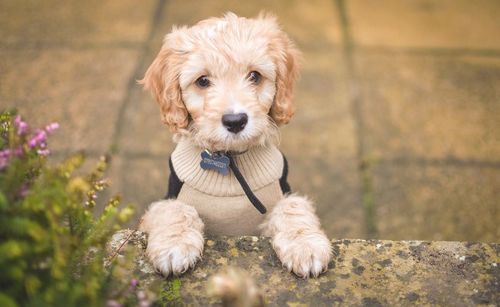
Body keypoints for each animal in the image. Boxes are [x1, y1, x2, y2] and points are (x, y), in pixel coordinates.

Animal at [139, 12, 332, 280]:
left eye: (255, 76)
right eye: (202, 81)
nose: (235, 121)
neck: (231, 159)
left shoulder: (281, 195)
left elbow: (293, 207)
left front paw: (305, 245)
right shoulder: (167, 199)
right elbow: (173, 210)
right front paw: (173, 245)